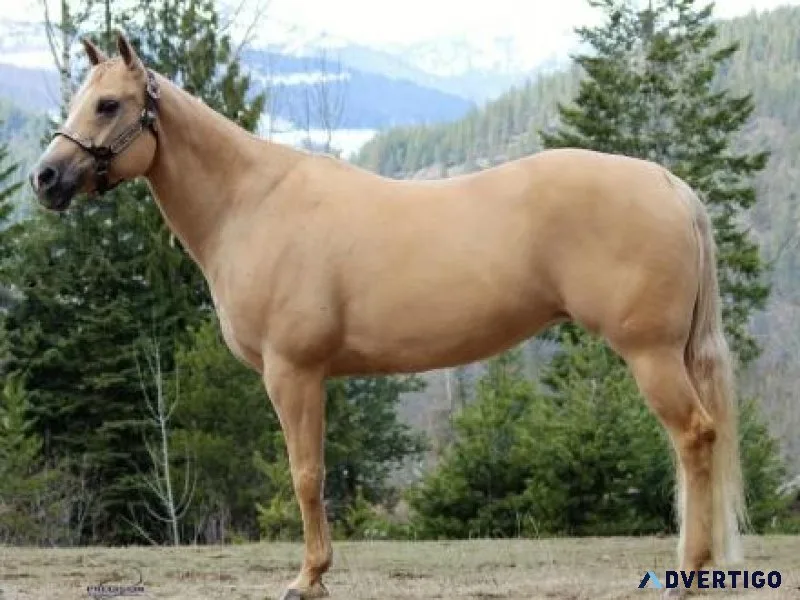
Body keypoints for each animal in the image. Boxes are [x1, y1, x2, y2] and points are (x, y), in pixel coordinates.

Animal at [29, 33, 745, 600]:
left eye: (109, 104)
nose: (45, 178)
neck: (252, 205)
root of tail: (669, 185)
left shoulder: (293, 373)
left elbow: (306, 474)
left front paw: (307, 578)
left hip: (650, 354)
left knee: (694, 438)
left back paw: (689, 574)